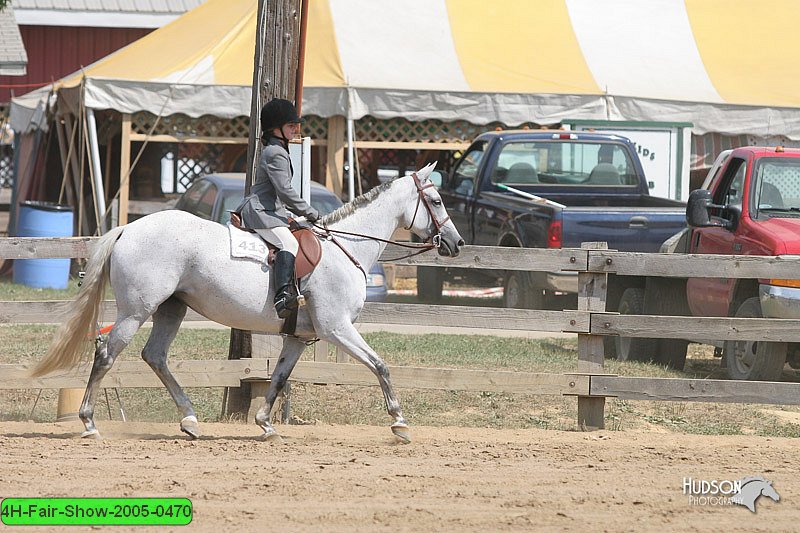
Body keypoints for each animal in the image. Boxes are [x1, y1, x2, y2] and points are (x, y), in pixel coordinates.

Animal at [32, 164, 462, 442]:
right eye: (437, 200)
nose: (456, 244)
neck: (345, 248)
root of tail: (127, 228)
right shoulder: (337, 328)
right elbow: (380, 365)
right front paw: (399, 422)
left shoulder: (298, 337)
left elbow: (279, 377)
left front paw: (265, 423)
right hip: (136, 311)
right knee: (107, 354)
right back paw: (89, 423)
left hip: (172, 308)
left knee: (154, 356)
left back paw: (190, 420)